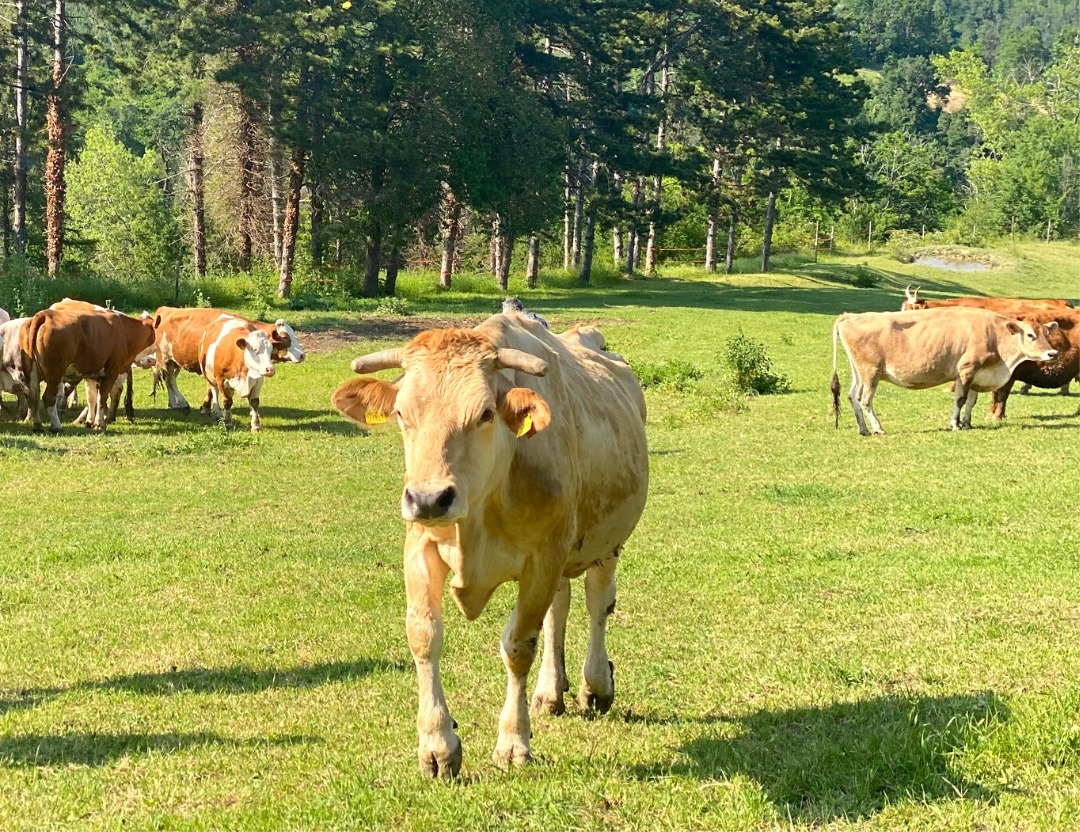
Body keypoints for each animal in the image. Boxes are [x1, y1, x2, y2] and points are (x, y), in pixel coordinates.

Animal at [20, 306, 156, 434]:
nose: (153, 361)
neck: (124, 329)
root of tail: (45, 315)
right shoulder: (111, 372)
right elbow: (102, 398)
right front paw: (99, 424)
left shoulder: (91, 374)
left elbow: (92, 398)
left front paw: (90, 421)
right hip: (55, 373)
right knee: (48, 397)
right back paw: (56, 426)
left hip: (31, 373)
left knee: (33, 397)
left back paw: (37, 425)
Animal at [829, 306, 1058, 434]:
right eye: (1030, 335)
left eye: (1047, 333)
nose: (1052, 353)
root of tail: (850, 316)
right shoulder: (967, 369)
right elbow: (960, 400)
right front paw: (955, 424)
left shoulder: (975, 374)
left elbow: (971, 401)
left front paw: (967, 423)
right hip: (871, 372)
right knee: (865, 400)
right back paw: (877, 428)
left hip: (859, 372)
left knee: (852, 396)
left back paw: (863, 429)